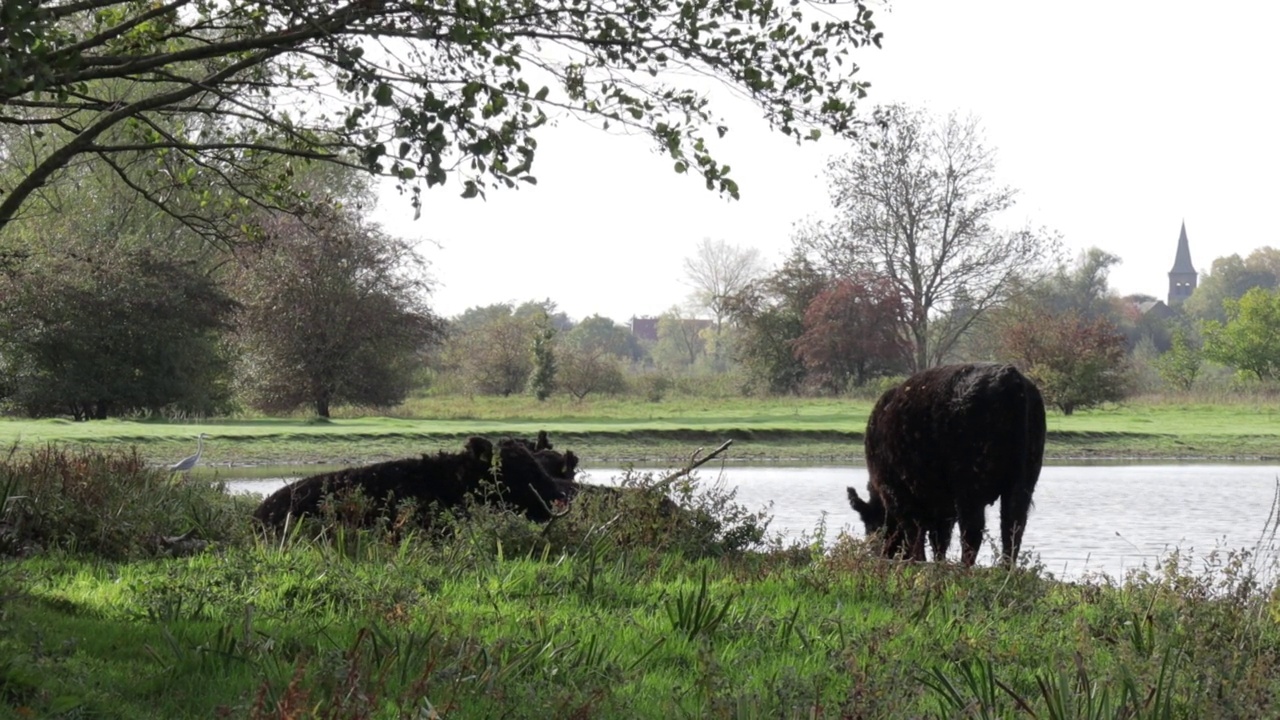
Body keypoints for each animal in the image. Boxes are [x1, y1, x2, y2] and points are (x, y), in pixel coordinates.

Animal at [844, 363, 1044, 566]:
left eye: (873, 527)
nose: (880, 557)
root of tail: (1009, 376)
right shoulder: (941, 509)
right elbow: (939, 541)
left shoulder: (899, 495)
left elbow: (916, 536)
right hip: (1022, 484)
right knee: (1012, 529)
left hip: (969, 489)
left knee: (972, 533)